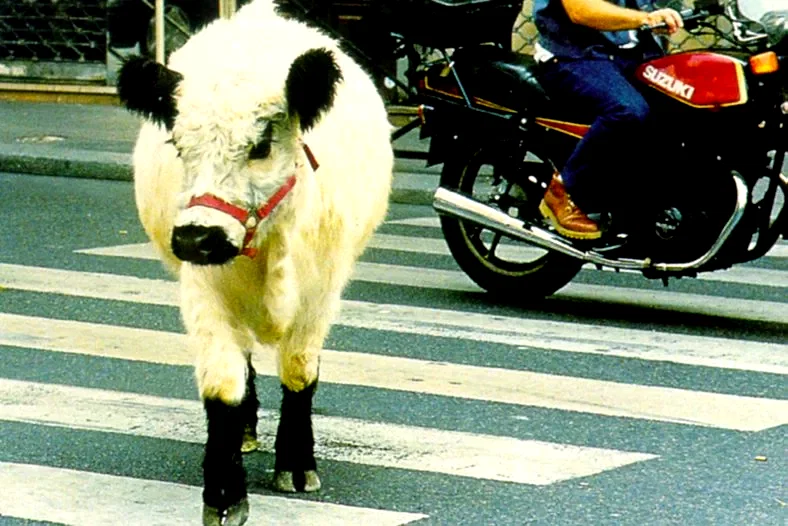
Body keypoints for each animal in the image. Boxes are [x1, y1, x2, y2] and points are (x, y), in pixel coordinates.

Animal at [117, 1, 393, 524]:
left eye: (261, 146)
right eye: (179, 147)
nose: (196, 237)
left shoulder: (321, 291)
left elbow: (300, 371)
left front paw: (297, 464)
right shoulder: (203, 290)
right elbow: (224, 384)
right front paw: (224, 493)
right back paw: (245, 433)